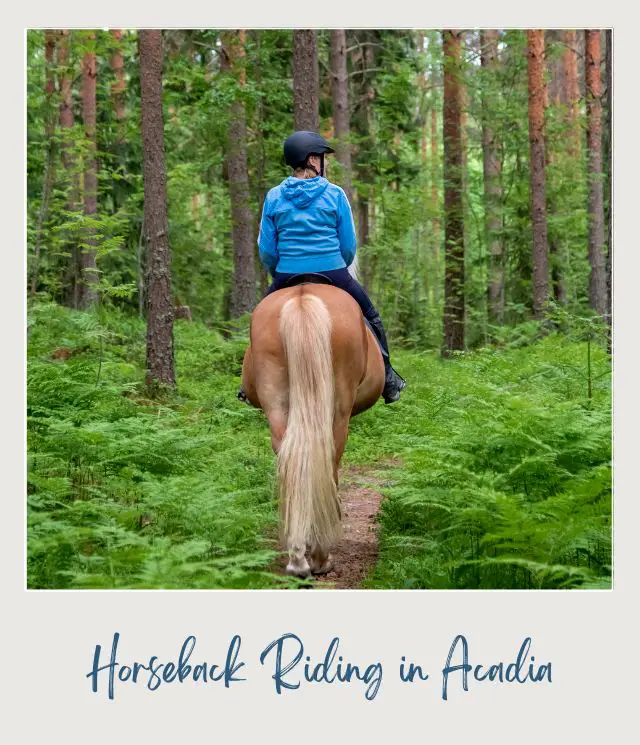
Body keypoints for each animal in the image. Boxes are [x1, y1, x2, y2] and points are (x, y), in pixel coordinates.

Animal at [242, 282, 384, 580]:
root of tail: (302, 297)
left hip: (277, 404)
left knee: (291, 460)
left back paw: (297, 557)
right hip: (338, 412)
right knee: (328, 460)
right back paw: (320, 556)